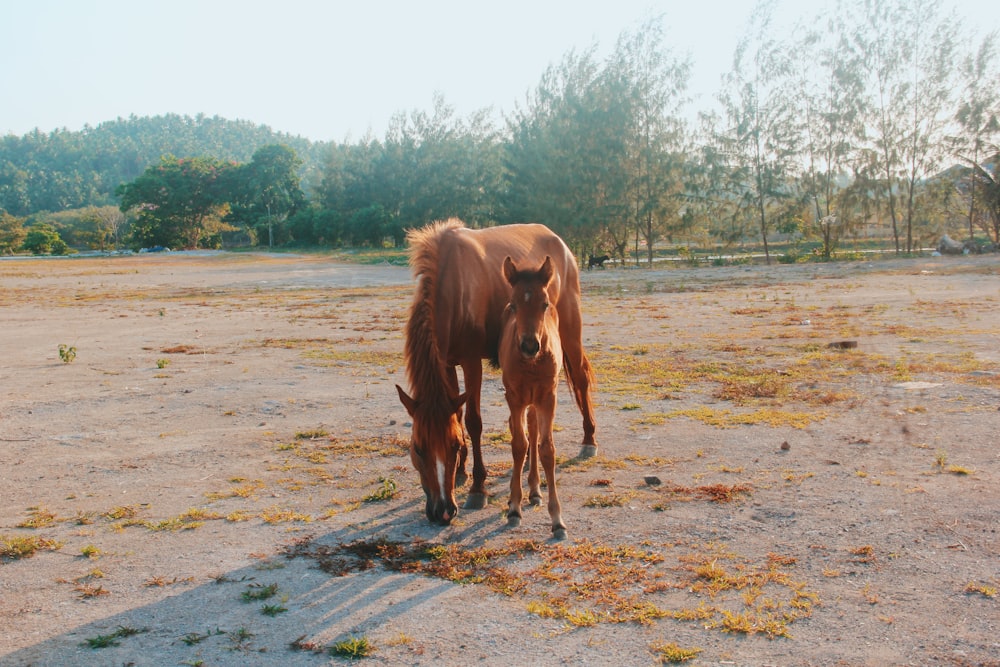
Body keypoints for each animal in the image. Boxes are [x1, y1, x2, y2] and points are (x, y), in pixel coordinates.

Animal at [392, 220, 592, 528]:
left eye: (451, 446)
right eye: (418, 448)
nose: (443, 511)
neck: (454, 284)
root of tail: (558, 240)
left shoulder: (471, 361)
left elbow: (473, 422)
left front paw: (477, 487)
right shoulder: (447, 363)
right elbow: (458, 415)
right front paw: (462, 471)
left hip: (570, 327)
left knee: (581, 379)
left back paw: (589, 439)